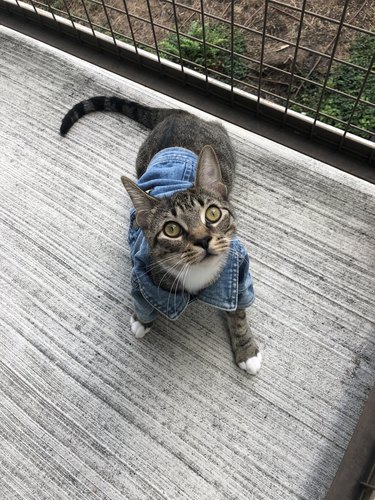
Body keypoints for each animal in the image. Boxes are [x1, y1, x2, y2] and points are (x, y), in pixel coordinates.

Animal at [61, 94, 262, 376]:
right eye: (172, 229)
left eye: (212, 214)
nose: (203, 239)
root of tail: (179, 114)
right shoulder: (141, 272)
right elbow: (143, 300)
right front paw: (141, 320)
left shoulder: (239, 270)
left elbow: (240, 311)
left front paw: (246, 349)